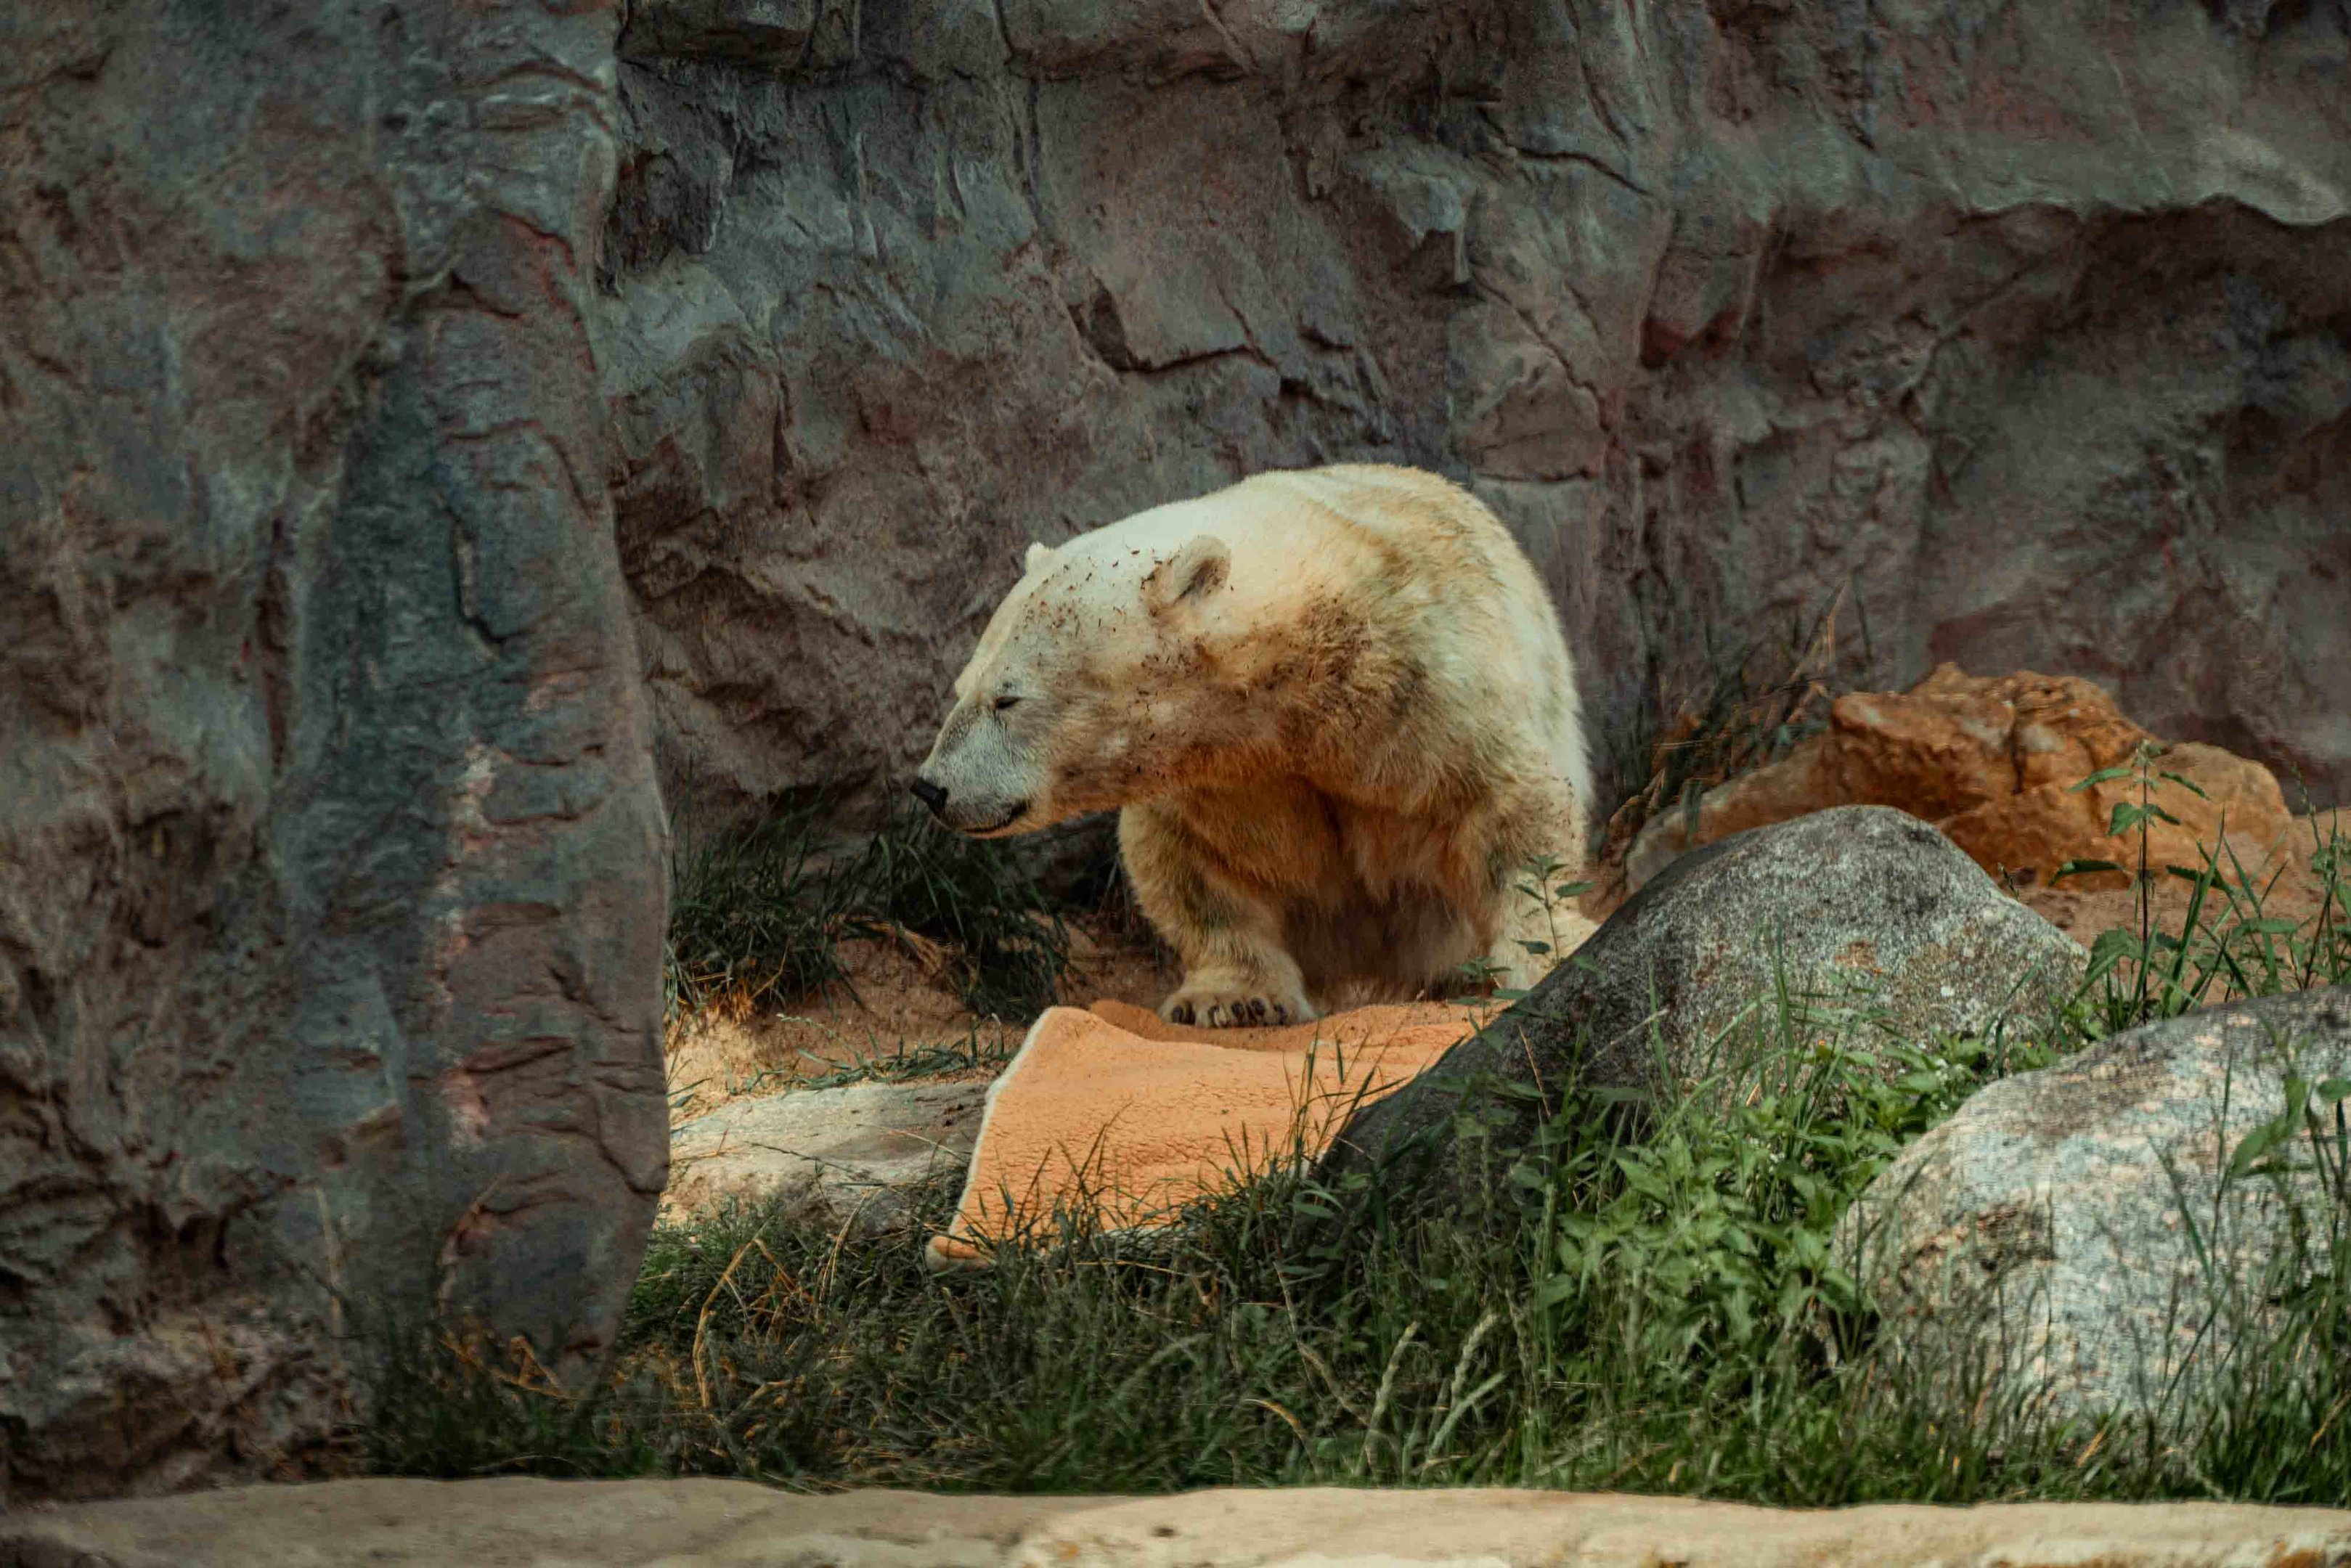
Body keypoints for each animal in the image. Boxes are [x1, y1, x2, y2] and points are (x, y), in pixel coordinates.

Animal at [910, 463, 1597, 1027]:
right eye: (962, 687)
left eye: (1008, 698)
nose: (931, 787)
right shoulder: (1220, 776)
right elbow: (1188, 864)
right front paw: (1233, 999)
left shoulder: (1425, 684)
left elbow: (1507, 808)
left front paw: (1542, 955)